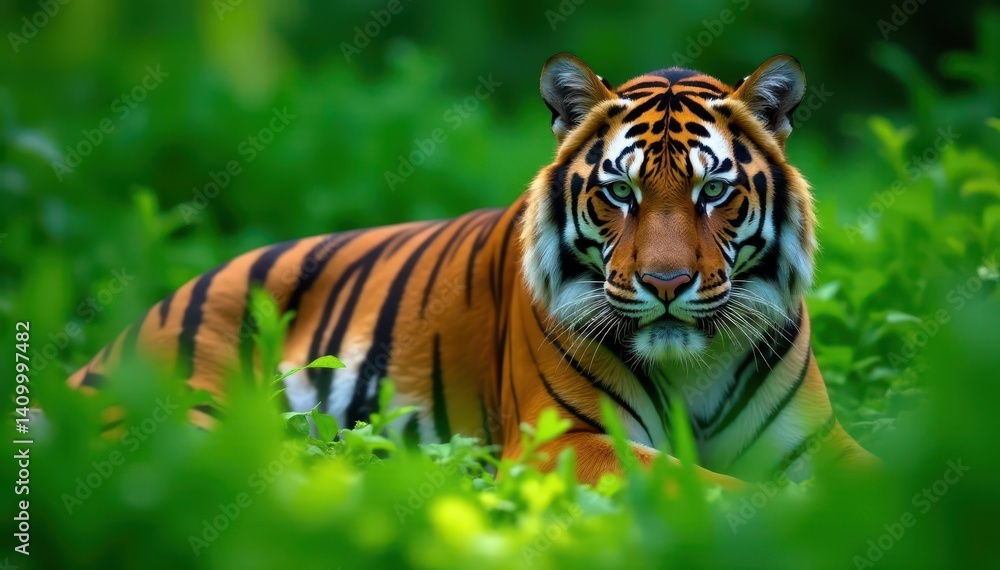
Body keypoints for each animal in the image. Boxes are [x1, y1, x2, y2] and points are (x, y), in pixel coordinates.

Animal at [68, 52, 878, 488]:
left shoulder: (815, 442)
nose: (667, 286)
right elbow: (707, 485)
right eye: (622, 192)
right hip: (190, 420)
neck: (695, 369)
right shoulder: (567, 440)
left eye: (713, 192)